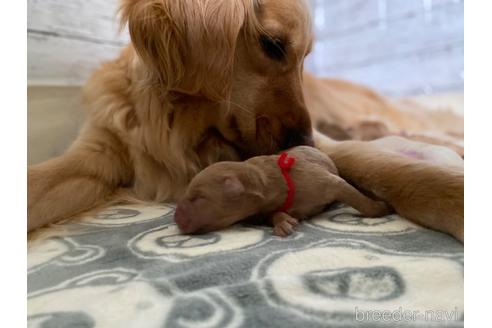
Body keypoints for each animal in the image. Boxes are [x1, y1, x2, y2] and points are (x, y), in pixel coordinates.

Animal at [175, 146, 390, 236]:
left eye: (198, 197)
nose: (176, 219)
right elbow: (275, 214)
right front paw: (283, 222)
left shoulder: (322, 181)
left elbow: (350, 192)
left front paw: (380, 207)